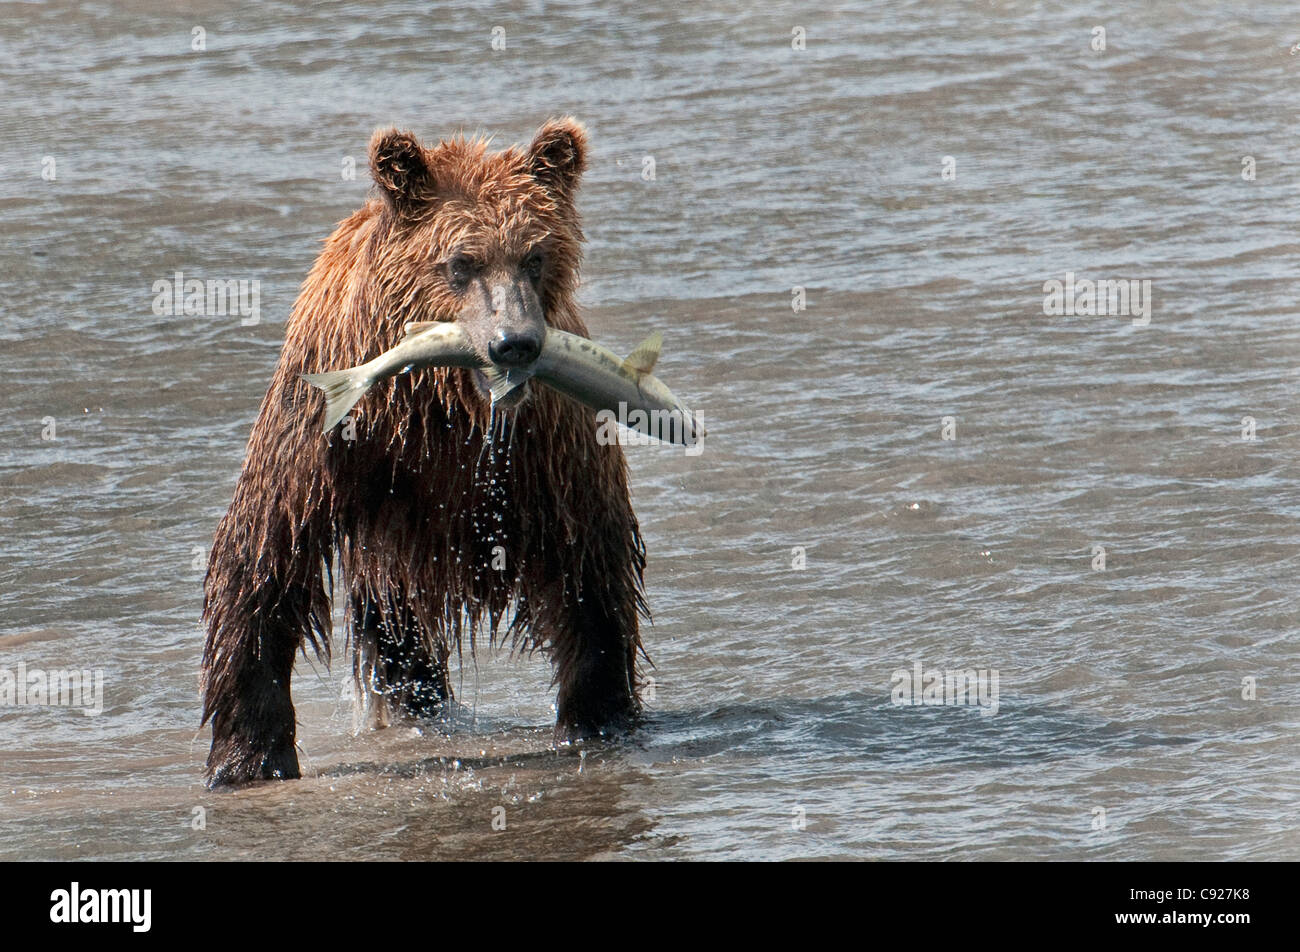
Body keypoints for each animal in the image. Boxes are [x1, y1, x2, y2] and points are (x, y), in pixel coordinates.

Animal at [200, 119, 647, 790]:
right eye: (462, 261)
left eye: (535, 255)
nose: (515, 343)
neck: (444, 402)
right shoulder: (331, 439)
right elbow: (264, 556)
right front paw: (248, 757)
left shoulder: (546, 450)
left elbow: (588, 564)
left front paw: (597, 716)